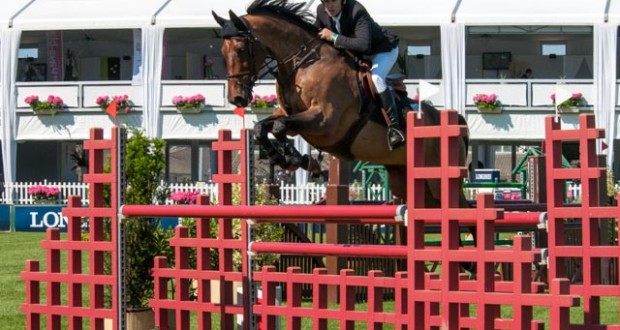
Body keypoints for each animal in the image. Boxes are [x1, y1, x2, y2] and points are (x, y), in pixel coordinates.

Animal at [213, 0, 470, 209]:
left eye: (240, 49)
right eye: (221, 52)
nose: (236, 99)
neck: (304, 62)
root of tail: (455, 122)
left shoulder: (326, 121)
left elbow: (279, 127)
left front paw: (294, 158)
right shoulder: (289, 114)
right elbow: (262, 127)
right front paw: (288, 158)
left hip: (437, 179)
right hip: (406, 178)